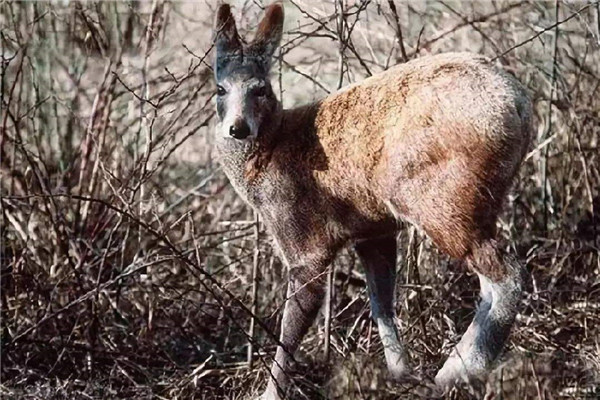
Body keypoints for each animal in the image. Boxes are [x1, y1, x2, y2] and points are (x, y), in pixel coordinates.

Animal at [211, 2, 528, 396]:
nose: (237, 128)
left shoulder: (304, 241)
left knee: (506, 274)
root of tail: (520, 104)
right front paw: (399, 374)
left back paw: (458, 370)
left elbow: (290, 329)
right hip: (477, 201)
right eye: (220, 88)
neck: (268, 154)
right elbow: (382, 304)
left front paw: (269, 393)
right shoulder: (373, 231)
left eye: (260, 89)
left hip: (444, 200)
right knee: (490, 281)